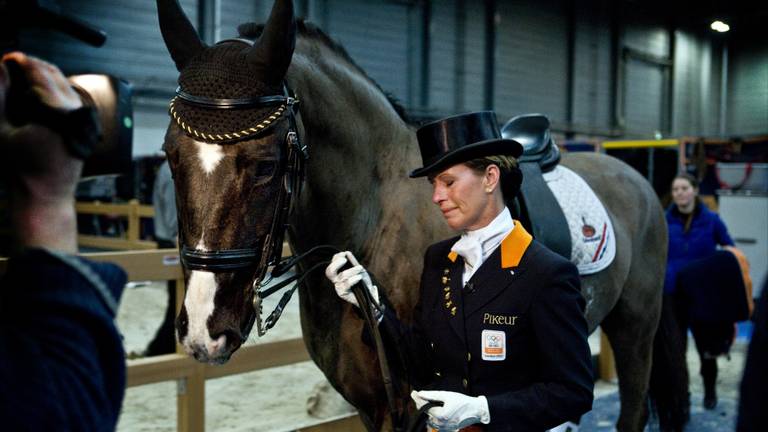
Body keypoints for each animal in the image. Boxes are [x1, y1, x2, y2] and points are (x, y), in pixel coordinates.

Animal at [156, 1, 684, 430]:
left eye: (267, 164)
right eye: (170, 156)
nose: (203, 331)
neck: (373, 218)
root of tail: (636, 179)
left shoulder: (409, 406)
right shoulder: (371, 406)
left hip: (636, 328)